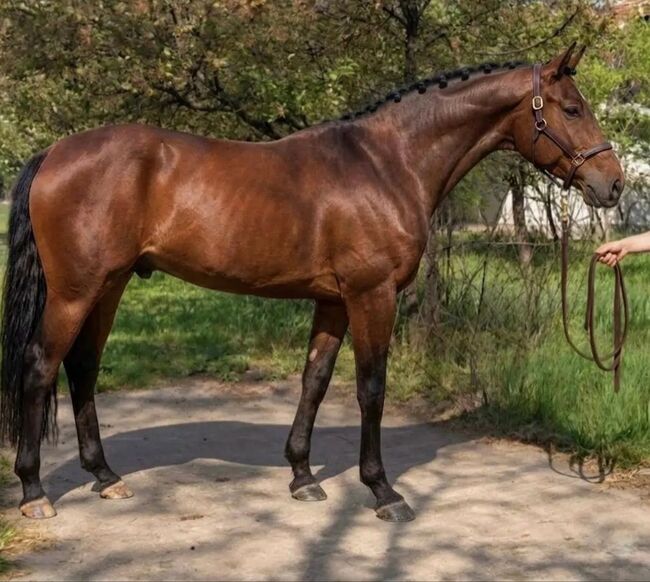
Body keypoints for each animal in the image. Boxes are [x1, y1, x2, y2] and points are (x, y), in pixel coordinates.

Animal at [1, 43, 624, 522]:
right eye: (572, 108)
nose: (613, 184)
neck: (387, 163)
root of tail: (53, 152)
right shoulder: (372, 295)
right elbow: (371, 388)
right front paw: (383, 490)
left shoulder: (334, 300)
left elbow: (315, 381)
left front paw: (302, 475)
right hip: (76, 291)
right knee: (40, 366)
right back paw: (34, 491)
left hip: (110, 286)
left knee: (82, 368)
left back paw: (106, 476)